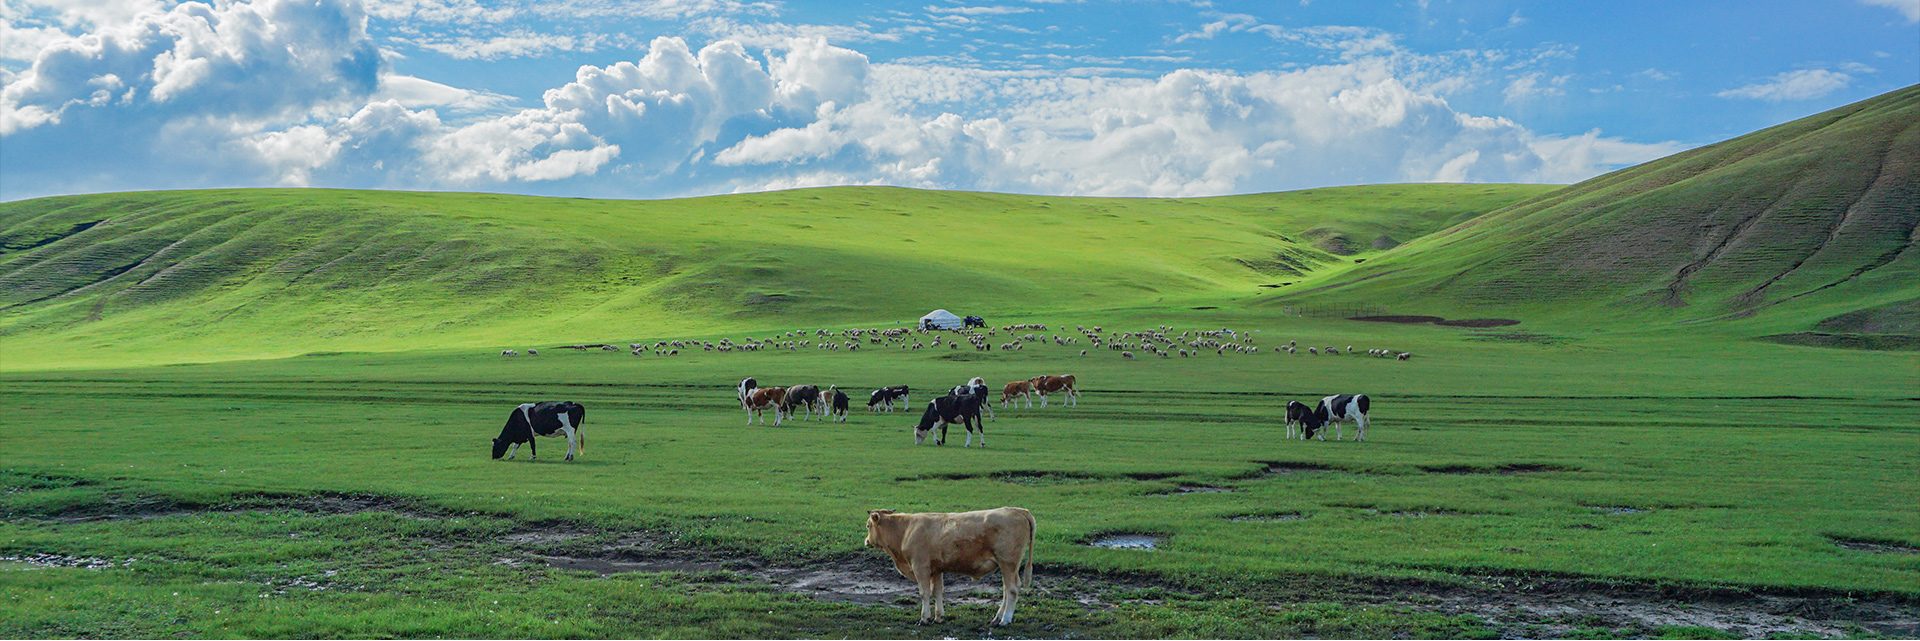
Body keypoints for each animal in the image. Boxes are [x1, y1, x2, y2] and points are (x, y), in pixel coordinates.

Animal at [863, 507, 1036, 626]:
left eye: (868, 525)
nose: (866, 541)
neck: (905, 530)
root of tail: (1018, 510)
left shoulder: (920, 566)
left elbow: (924, 593)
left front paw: (924, 618)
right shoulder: (936, 569)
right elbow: (937, 592)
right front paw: (939, 617)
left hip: (1008, 563)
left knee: (1012, 590)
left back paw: (1005, 620)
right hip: (1008, 566)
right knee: (1007, 589)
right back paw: (997, 618)